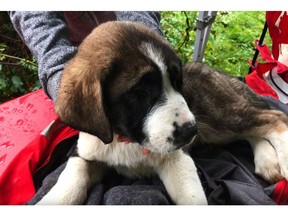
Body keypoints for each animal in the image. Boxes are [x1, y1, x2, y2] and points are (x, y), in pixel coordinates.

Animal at [37, 21, 288, 205]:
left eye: (177, 82)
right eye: (140, 90)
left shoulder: (178, 156)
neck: (126, 140)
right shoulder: (84, 151)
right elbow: (73, 177)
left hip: (220, 114)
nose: (191, 131)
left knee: (274, 118)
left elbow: (192, 198)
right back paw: (267, 160)